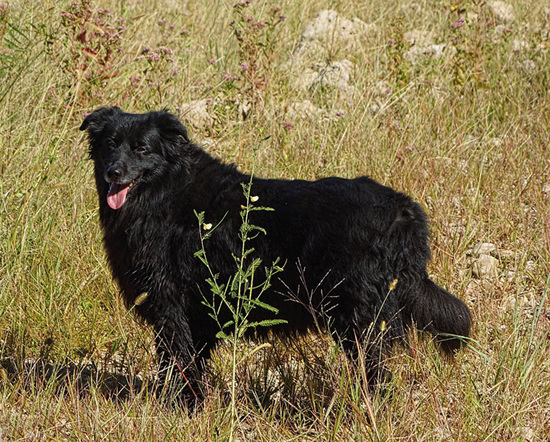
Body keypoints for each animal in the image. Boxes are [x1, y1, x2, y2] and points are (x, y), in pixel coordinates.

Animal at [80, 109, 472, 406]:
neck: (167, 192)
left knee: (376, 373)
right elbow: (192, 362)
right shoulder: (198, 315)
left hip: (359, 317)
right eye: (110, 145)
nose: (113, 172)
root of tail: (403, 210)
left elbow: (178, 361)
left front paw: (178, 407)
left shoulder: (171, 305)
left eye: (142, 148)